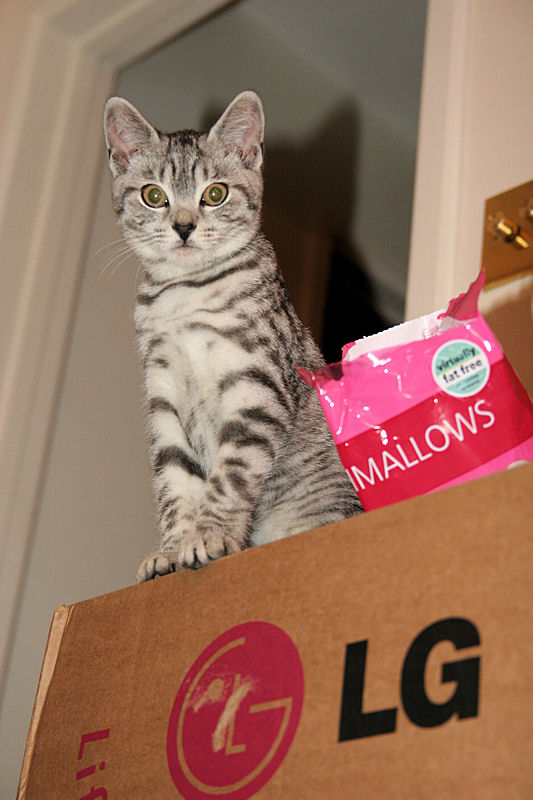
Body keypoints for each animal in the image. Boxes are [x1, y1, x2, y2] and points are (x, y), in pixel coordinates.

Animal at [104, 92, 362, 580]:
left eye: (215, 194)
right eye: (153, 196)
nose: (184, 226)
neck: (184, 295)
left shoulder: (256, 384)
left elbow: (231, 472)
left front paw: (209, 537)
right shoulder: (163, 391)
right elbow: (174, 479)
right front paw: (172, 549)